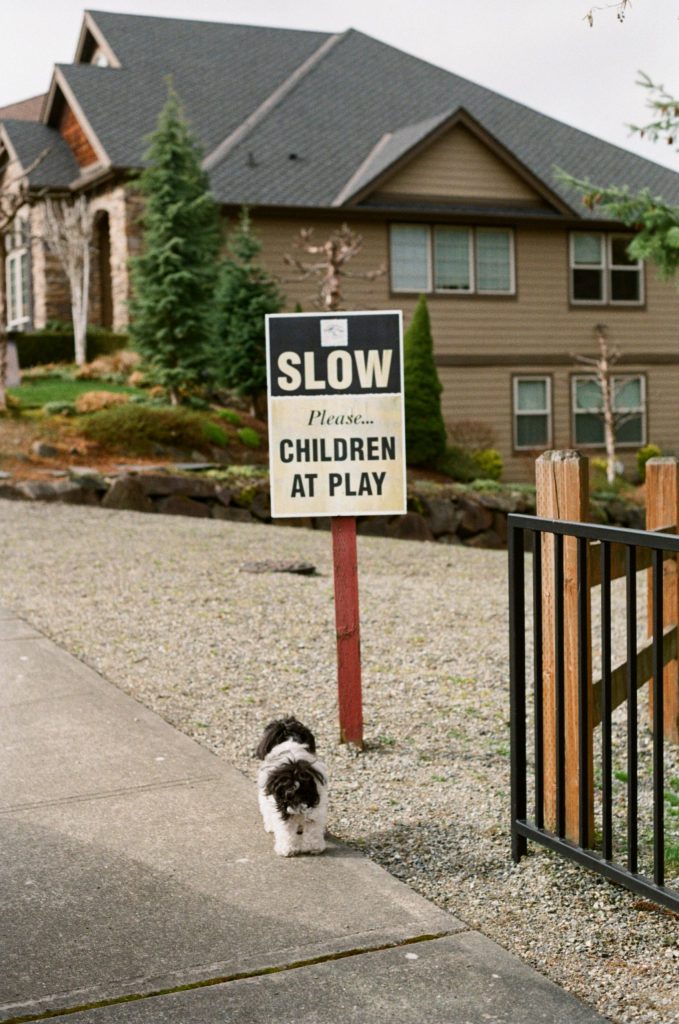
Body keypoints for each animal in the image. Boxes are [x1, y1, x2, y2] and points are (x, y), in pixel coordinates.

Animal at [255, 720, 329, 856]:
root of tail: (296, 777)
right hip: (316, 806)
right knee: (313, 826)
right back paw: (314, 847)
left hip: (281, 806)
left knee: (285, 829)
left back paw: (285, 849)